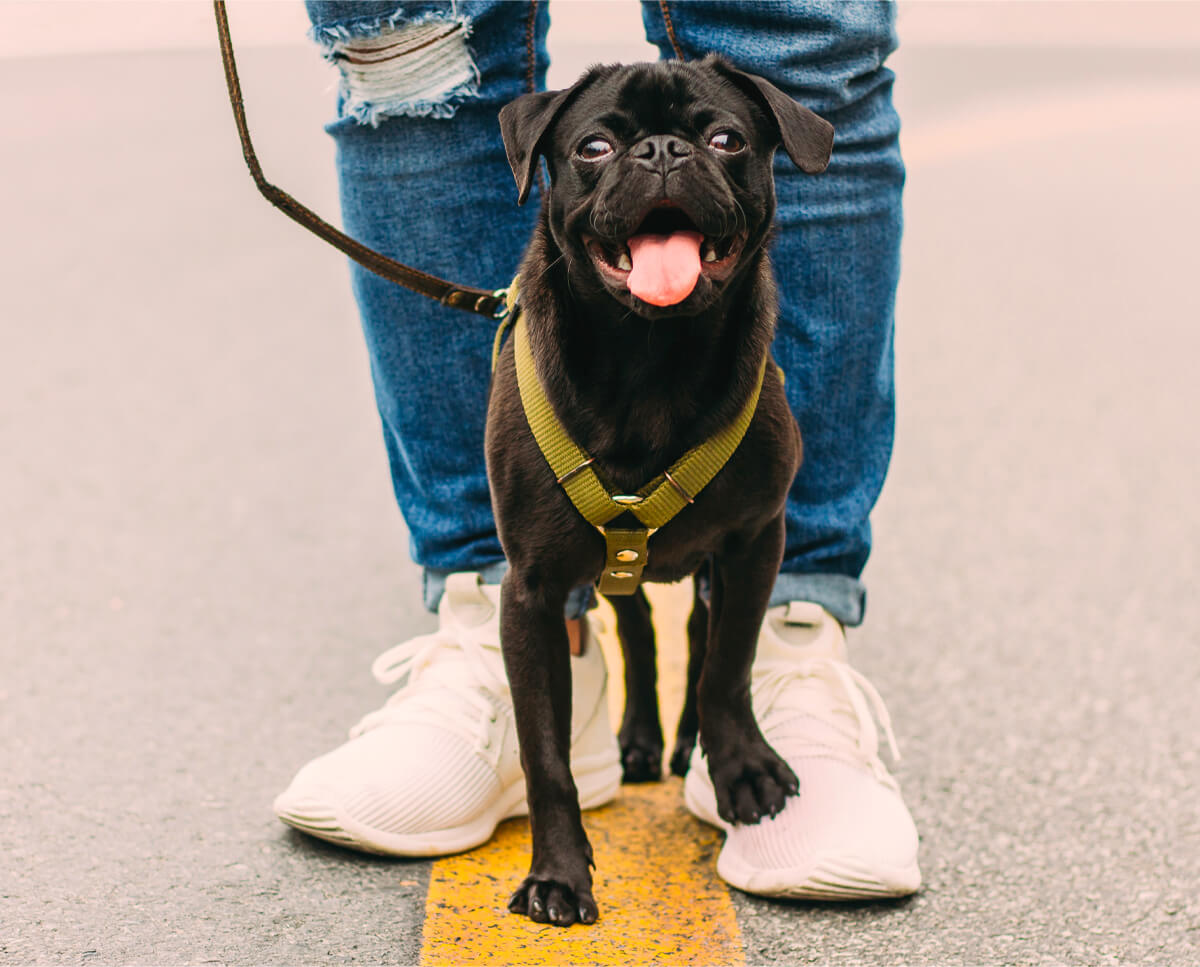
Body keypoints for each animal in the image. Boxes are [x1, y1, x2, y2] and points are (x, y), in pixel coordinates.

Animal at [482, 54, 830, 931]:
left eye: (727, 140)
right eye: (595, 147)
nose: (664, 151)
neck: (650, 357)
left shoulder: (756, 540)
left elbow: (729, 663)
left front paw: (739, 766)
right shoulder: (530, 592)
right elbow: (545, 752)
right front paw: (558, 874)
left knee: (699, 632)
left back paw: (685, 743)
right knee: (639, 628)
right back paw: (640, 737)